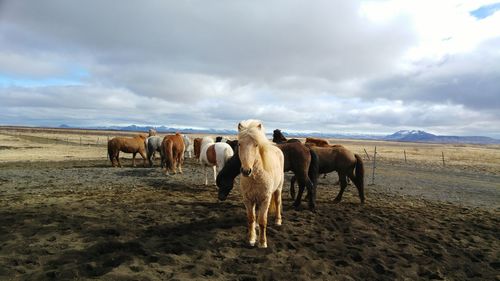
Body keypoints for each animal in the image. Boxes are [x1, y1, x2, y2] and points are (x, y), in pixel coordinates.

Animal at [236, 118, 284, 247]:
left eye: (256, 144)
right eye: (239, 144)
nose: (246, 171)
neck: (255, 177)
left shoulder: (265, 199)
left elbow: (263, 221)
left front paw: (262, 243)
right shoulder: (248, 200)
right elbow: (251, 219)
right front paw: (251, 239)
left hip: (278, 189)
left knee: (278, 202)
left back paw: (278, 221)